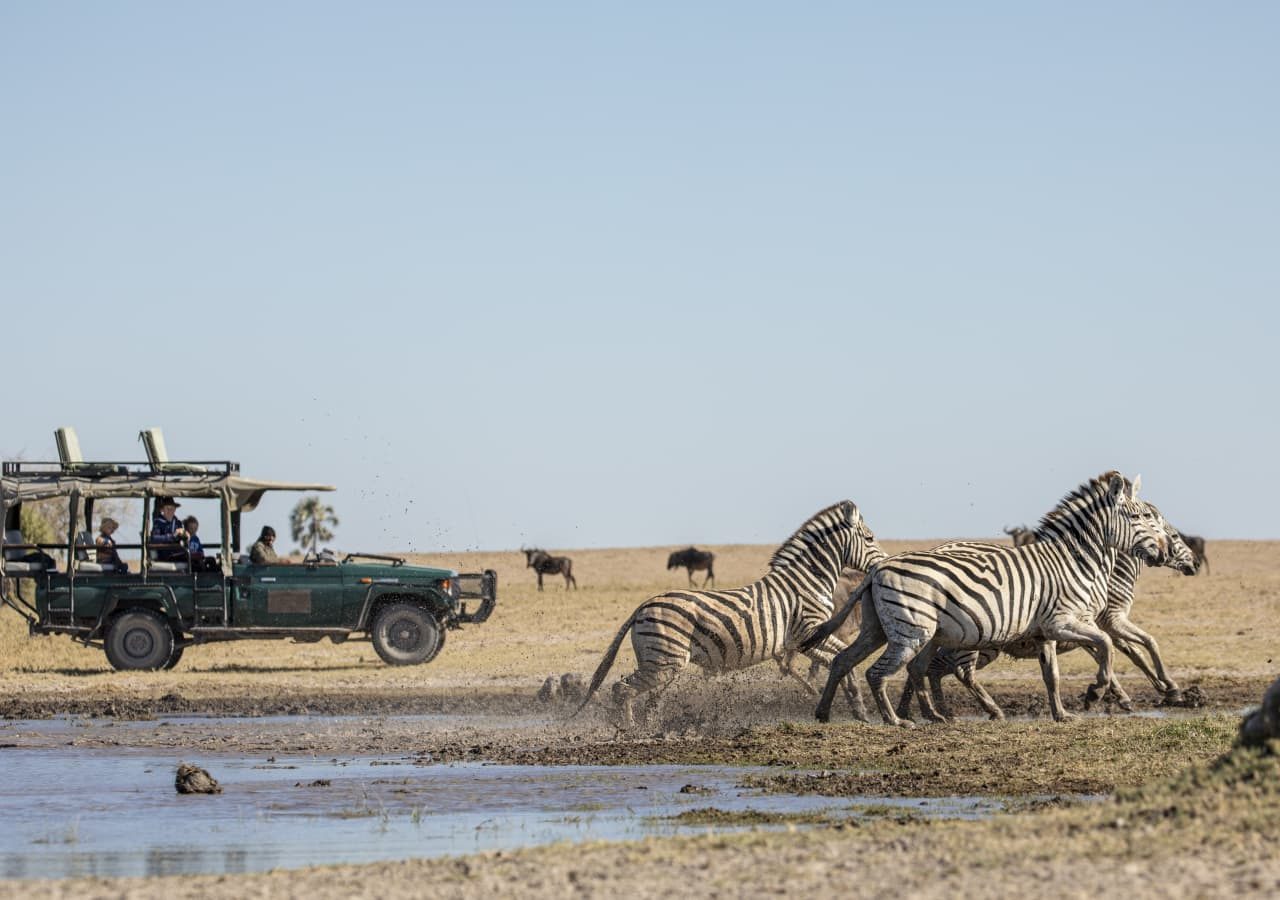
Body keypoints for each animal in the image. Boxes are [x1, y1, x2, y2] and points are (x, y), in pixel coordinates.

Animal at [573, 504, 885, 727]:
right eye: (870, 538)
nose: (883, 563)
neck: (805, 581)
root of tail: (642, 606)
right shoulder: (808, 632)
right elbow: (841, 657)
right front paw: (856, 706)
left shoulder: (805, 641)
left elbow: (841, 660)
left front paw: (857, 709)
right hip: (663, 662)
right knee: (622, 689)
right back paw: (628, 729)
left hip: (663, 662)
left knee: (643, 697)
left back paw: (646, 727)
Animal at [890, 509, 1198, 722]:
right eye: (1175, 537)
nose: (1194, 564)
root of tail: (938, 549)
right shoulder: (1112, 620)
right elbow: (1142, 646)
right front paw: (1167, 688)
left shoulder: (1092, 626)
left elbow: (1120, 652)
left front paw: (1123, 692)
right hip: (975, 640)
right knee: (949, 669)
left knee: (925, 666)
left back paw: (914, 710)